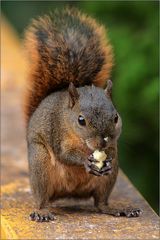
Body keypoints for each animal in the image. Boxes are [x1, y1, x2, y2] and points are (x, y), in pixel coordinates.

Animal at [24, 7, 141, 221]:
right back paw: (41, 211)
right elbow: (64, 154)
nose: (102, 141)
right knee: (42, 199)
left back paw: (116, 208)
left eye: (116, 118)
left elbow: (112, 151)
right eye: (81, 120)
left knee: (100, 203)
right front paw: (85, 160)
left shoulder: (112, 146)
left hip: (107, 181)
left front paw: (106, 158)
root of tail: (69, 193)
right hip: (40, 164)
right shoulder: (58, 133)